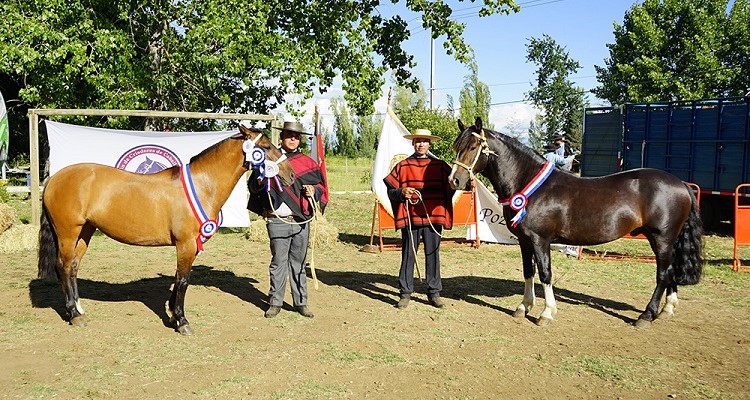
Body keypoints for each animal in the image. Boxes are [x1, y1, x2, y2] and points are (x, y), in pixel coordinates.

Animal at [38, 124, 296, 334]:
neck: (202, 184)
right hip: (68, 232)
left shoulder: (189, 246)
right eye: (265, 146)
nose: (291, 174)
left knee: (73, 267)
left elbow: (179, 278)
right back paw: (73, 314)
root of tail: (54, 178)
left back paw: (79, 309)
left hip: (85, 232)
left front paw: (173, 315)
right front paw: (182, 322)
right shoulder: (186, 244)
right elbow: (182, 281)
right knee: (63, 266)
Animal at [452, 117, 704, 326]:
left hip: (662, 238)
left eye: (473, 147)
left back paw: (646, 315)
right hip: (667, 240)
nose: (454, 180)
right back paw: (667, 310)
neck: (531, 185)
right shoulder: (524, 241)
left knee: (663, 273)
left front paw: (546, 313)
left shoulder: (540, 240)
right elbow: (528, 271)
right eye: (457, 147)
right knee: (671, 271)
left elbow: (545, 273)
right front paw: (523, 307)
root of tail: (681, 183)